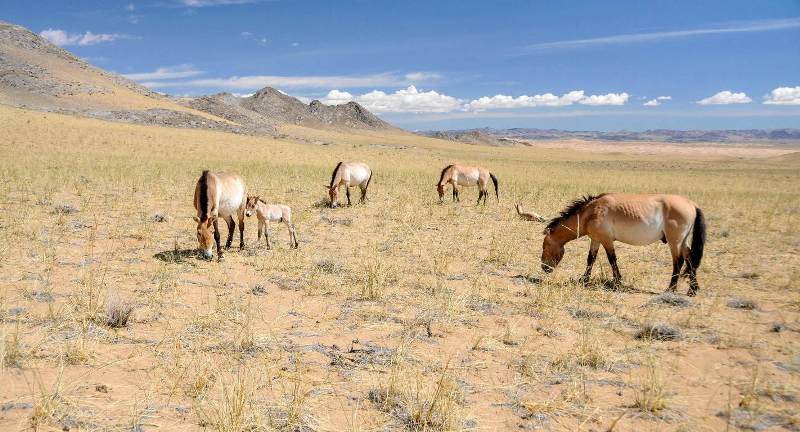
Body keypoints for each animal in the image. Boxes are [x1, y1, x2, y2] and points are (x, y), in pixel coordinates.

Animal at [536, 194, 708, 296]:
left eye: (545, 246)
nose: (545, 268)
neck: (591, 212)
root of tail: (691, 204)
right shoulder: (596, 239)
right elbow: (590, 259)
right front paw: (584, 279)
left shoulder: (606, 240)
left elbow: (612, 259)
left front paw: (617, 282)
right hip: (682, 241)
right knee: (690, 258)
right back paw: (693, 290)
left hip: (675, 241)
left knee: (678, 262)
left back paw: (670, 289)